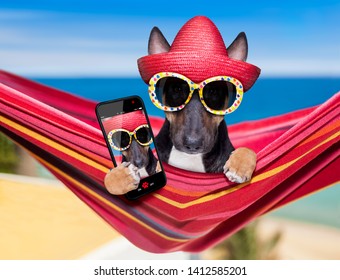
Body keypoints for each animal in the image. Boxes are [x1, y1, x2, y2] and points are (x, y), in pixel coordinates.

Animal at [103, 15, 258, 195]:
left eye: (213, 92)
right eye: (176, 89)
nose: (193, 144)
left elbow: (249, 150)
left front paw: (239, 167)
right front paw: (120, 177)